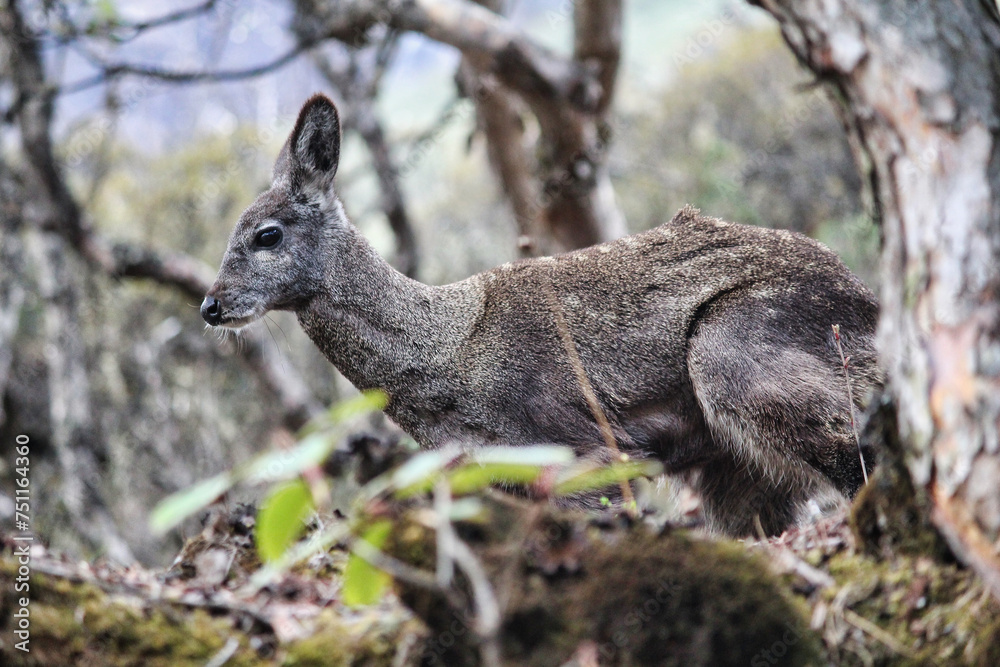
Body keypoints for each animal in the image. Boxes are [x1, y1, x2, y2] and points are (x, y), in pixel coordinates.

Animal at [201, 94, 881, 537]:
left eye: (266, 234)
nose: (210, 305)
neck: (447, 359)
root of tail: (867, 302)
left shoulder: (584, 451)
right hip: (732, 464)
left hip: (734, 356)